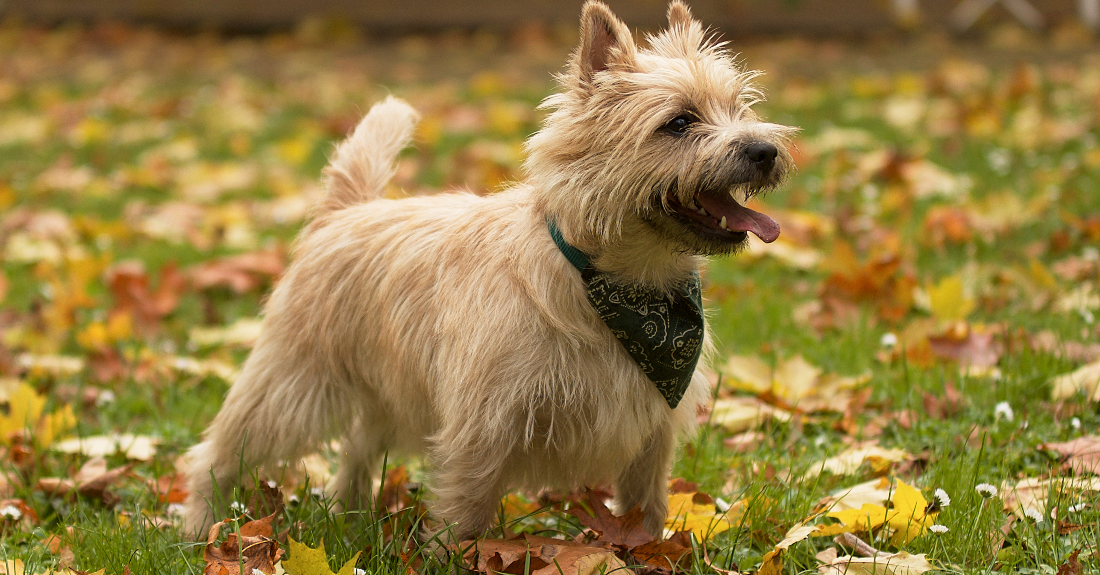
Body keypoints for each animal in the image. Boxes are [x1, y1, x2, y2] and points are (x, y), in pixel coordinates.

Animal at [187, 0, 792, 540]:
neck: (619, 285)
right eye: (679, 122)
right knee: (216, 454)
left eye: (740, 108)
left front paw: (647, 552)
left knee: (357, 447)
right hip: (291, 386)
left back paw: (350, 515)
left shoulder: (652, 433)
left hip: (385, 392)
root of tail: (344, 211)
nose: (764, 149)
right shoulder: (484, 424)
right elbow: (467, 510)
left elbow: (646, 508)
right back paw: (200, 529)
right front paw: (457, 553)